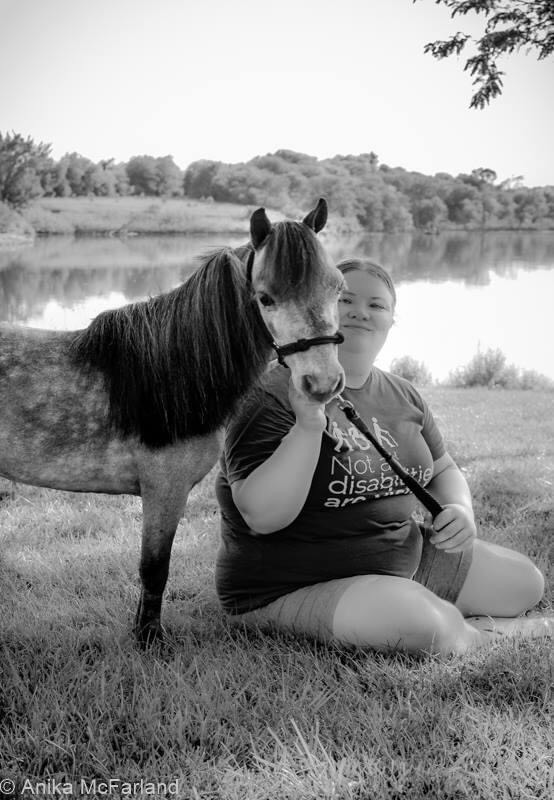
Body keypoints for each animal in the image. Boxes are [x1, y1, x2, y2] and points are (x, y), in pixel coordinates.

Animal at [0, 199, 346, 643]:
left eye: (337, 287)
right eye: (265, 298)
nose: (322, 383)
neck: (173, 372)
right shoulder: (164, 490)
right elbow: (154, 569)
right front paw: (150, 639)